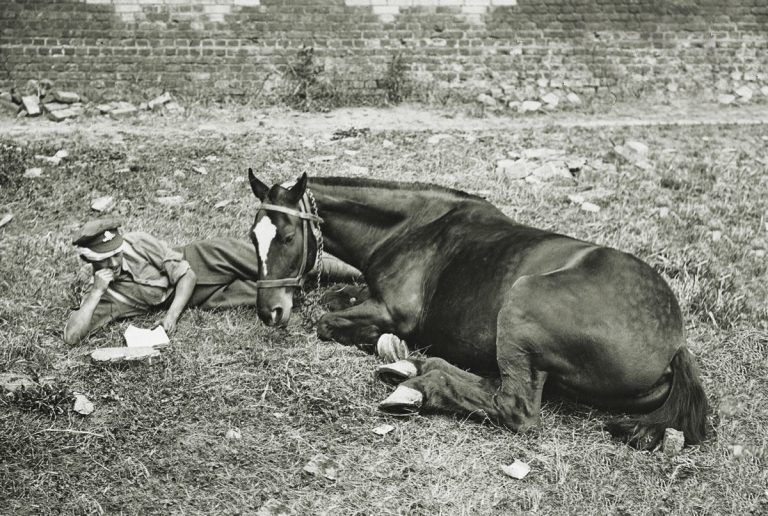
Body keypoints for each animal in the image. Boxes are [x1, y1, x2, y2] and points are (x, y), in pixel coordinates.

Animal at [247, 170, 709, 449]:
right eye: (253, 236)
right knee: (491, 384)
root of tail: (675, 345)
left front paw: (383, 342)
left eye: (287, 237)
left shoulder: (394, 312)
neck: (412, 227)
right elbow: (336, 299)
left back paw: (417, 386)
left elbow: (327, 322)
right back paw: (414, 369)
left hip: (521, 304)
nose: (269, 311)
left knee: (514, 407)